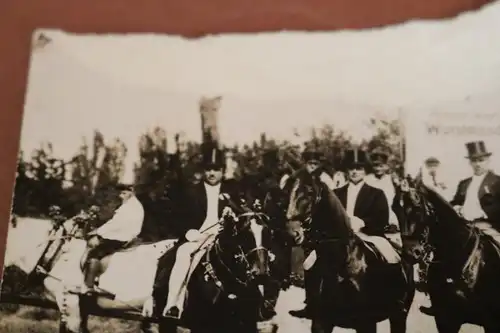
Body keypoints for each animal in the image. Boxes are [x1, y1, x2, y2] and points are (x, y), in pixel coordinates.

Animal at [282, 171, 414, 332]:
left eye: (310, 192)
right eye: (287, 192)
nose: (291, 233)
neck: (339, 262)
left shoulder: (366, 322)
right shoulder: (321, 321)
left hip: (399, 316)